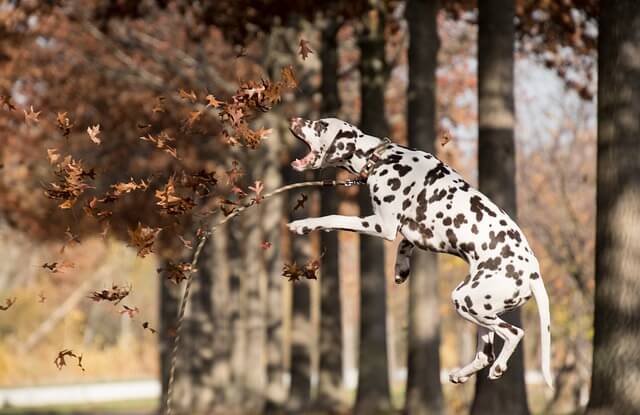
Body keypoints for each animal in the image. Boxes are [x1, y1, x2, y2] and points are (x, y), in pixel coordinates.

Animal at [288, 118, 552, 390]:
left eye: (319, 125)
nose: (294, 120)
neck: (381, 158)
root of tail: (533, 274)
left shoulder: (382, 225)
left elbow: (334, 218)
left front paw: (304, 225)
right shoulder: (416, 232)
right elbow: (405, 244)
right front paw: (401, 268)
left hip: (467, 301)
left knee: (514, 333)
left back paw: (499, 366)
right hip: (480, 309)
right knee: (485, 353)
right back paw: (461, 373)